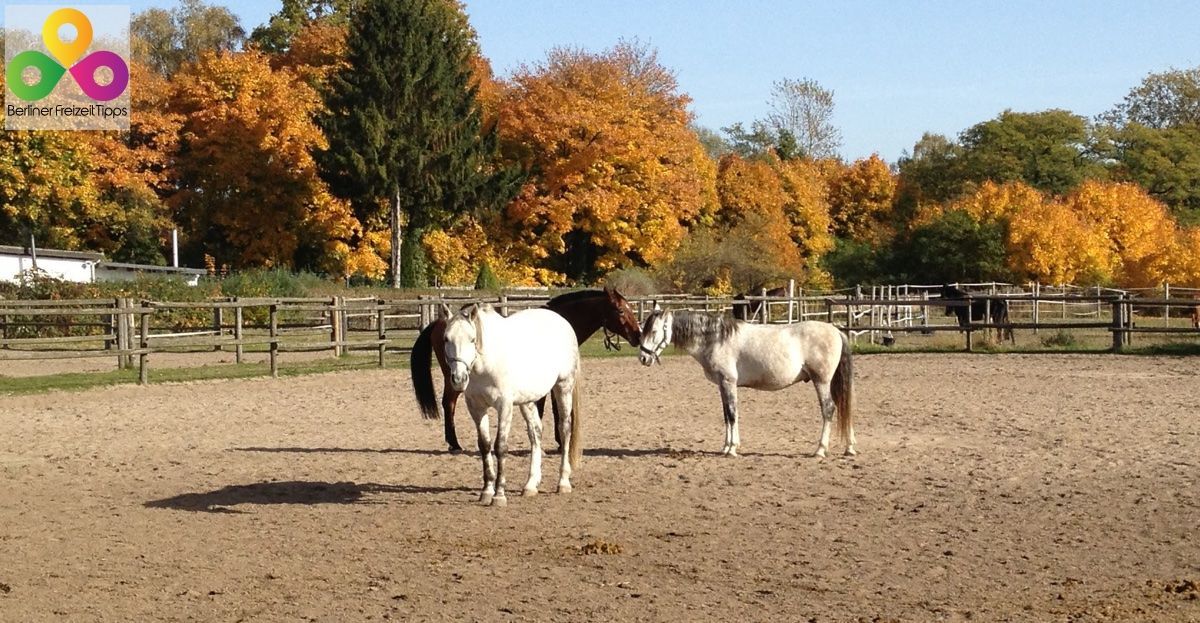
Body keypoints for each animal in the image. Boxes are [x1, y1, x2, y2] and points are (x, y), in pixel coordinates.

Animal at [411, 287, 641, 452]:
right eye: (621, 310)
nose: (638, 335)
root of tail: (440, 322)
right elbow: (543, 409)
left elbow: (554, 409)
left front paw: (558, 441)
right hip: (457, 378)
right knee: (448, 403)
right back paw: (454, 444)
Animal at [437, 303, 582, 505]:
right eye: (446, 339)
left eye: (472, 339)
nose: (458, 379)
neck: (487, 365)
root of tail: (562, 322)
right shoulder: (477, 408)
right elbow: (485, 446)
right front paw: (486, 491)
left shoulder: (504, 406)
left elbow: (500, 447)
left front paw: (499, 495)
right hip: (528, 400)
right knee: (535, 433)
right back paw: (530, 485)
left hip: (563, 387)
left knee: (564, 429)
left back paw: (563, 483)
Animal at [638, 305, 856, 458]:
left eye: (654, 331)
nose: (643, 358)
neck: (716, 339)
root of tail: (836, 331)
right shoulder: (722, 385)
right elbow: (726, 415)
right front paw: (725, 446)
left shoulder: (729, 382)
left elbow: (732, 414)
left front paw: (732, 449)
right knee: (843, 405)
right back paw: (850, 448)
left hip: (821, 381)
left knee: (828, 409)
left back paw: (820, 450)